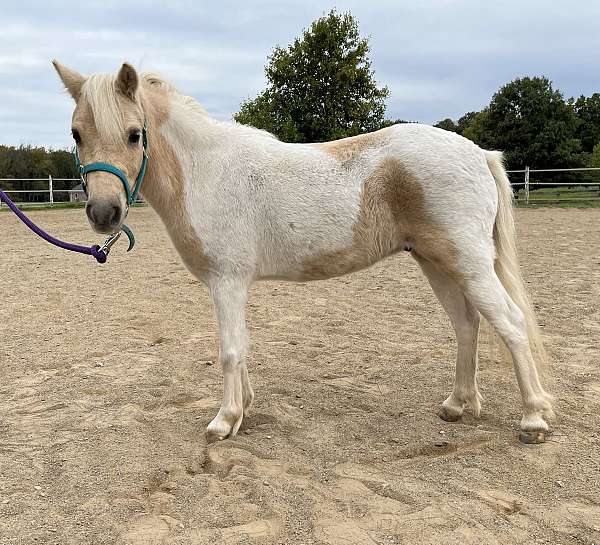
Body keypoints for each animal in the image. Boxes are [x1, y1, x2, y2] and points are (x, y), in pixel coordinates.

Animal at [52, 61, 552, 442]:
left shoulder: (227, 281)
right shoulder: (233, 285)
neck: (206, 171)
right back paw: (457, 405)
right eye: (76, 133)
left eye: (135, 134)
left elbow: (229, 349)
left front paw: (224, 422)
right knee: (467, 325)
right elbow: (241, 347)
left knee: (510, 323)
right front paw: (243, 409)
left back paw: (532, 418)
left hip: (468, 263)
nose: (104, 212)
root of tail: (479, 153)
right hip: (436, 262)